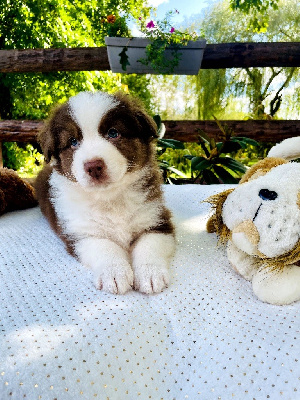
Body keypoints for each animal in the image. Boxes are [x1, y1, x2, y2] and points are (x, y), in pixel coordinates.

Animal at [34, 92, 176, 296]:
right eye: (73, 142)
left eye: (113, 133)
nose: (93, 166)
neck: (110, 197)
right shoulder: (81, 234)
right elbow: (106, 247)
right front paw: (115, 274)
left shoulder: (157, 219)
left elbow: (149, 244)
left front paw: (150, 274)